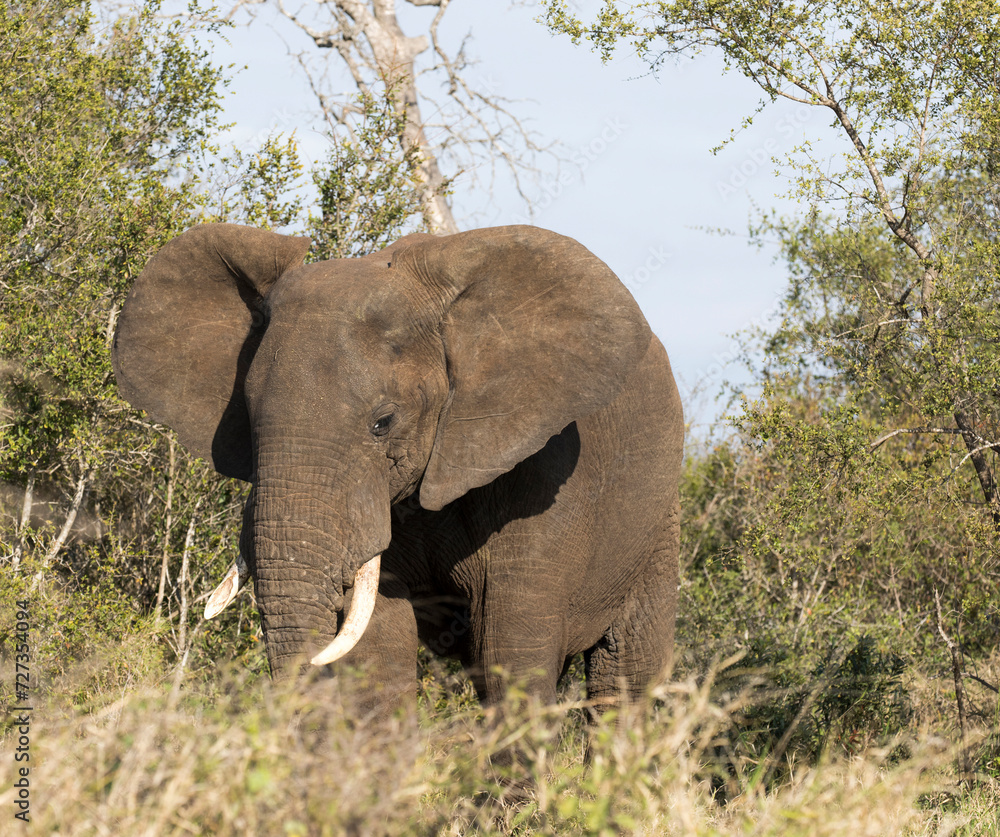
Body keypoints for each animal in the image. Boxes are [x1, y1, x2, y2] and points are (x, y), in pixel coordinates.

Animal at [112, 223, 684, 718]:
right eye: (249, 423)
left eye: (382, 423)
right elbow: (377, 650)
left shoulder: (547, 471)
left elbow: (512, 655)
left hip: (659, 522)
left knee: (623, 679)